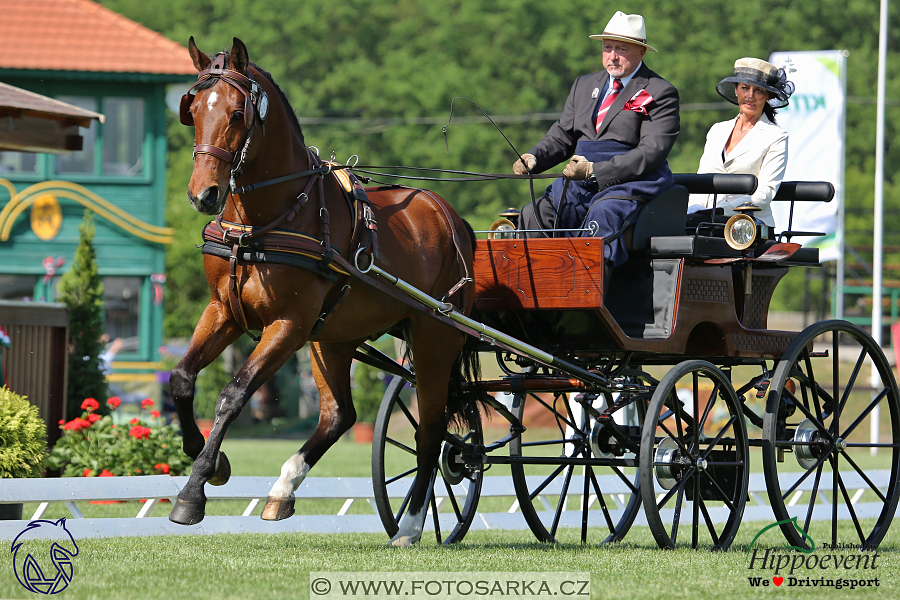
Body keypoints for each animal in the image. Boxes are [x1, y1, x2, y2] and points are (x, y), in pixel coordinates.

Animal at [168, 35, 478, 548]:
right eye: (191, 110)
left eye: (237, 113)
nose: (203, 195)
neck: (265, 219)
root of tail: (451, 216)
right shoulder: (224, 311)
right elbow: (181, 379)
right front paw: (212, 462)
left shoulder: (288, 326)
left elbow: (233, 394)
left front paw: (193, 491)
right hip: (333, 338)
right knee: (339, 416)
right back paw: (283, 489)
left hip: (435, 337)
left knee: (430, 433)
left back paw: (411, 525)